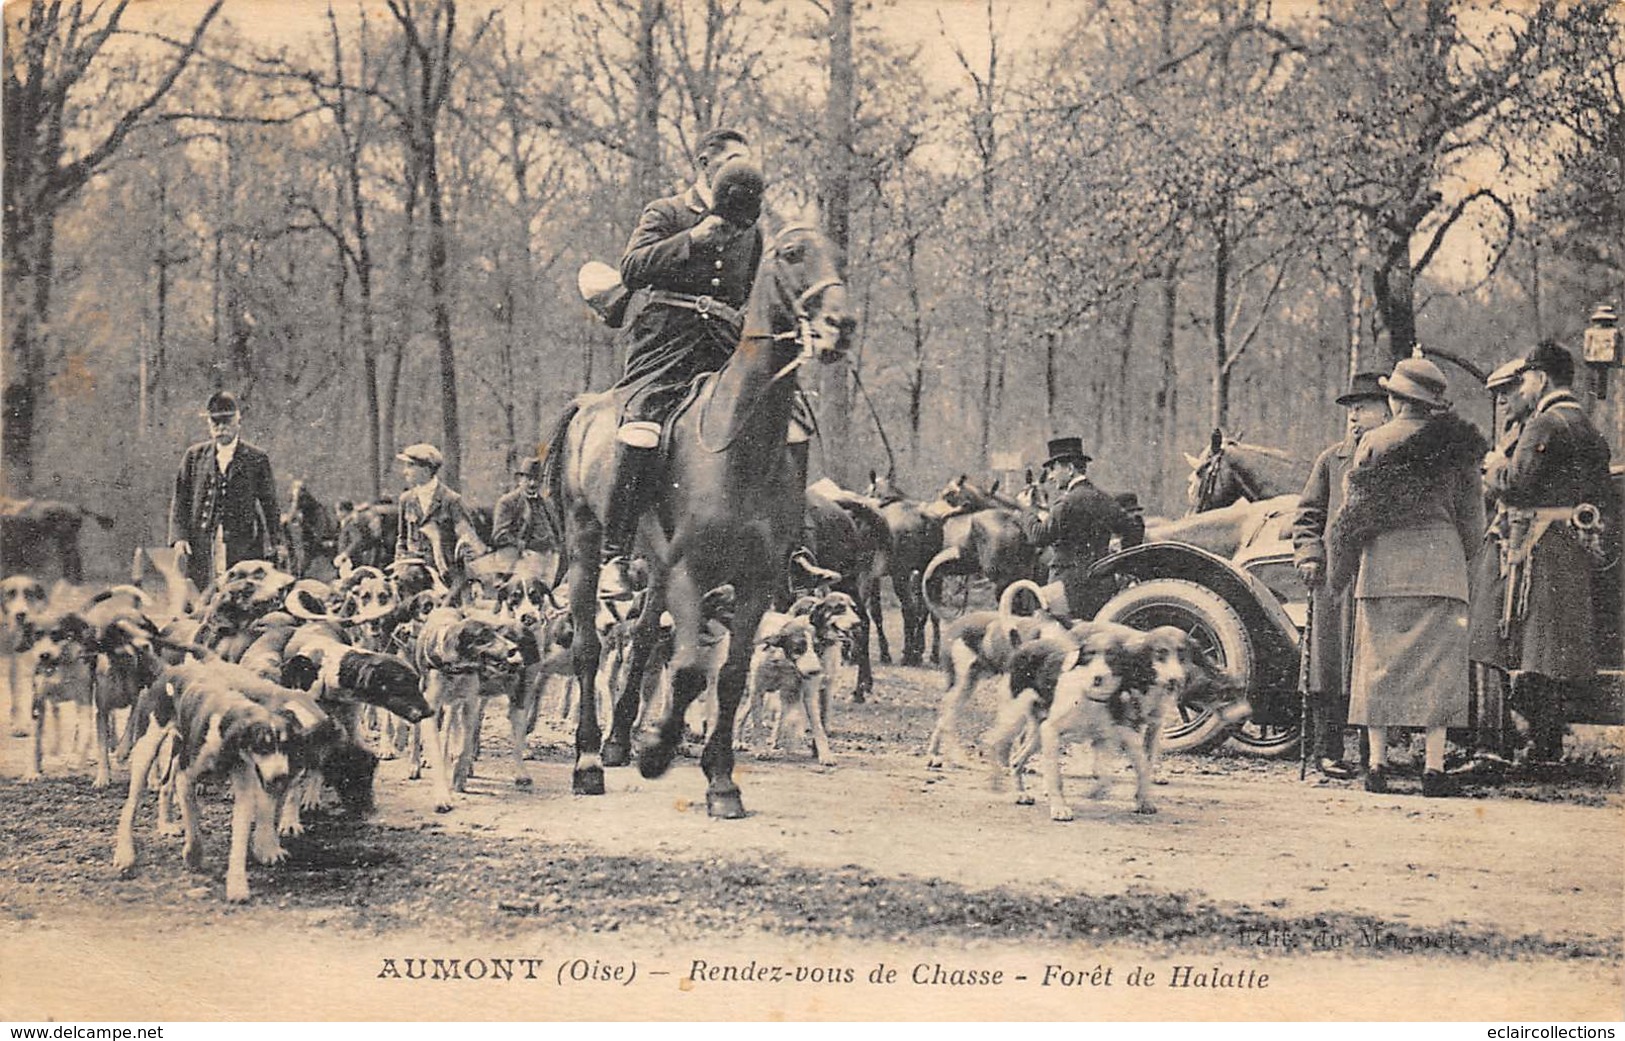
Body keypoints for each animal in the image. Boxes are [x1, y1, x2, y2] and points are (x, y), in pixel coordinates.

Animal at [542, 220, 851, 818]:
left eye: (840, 256)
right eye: (791, 252)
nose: (840, 326)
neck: (740, 447)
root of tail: (589, 406)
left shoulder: (756, 582)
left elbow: (728, 678)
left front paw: (722, 780)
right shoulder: (691, 570)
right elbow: (686, 671)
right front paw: (658, 750)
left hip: (656, 568)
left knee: (642, 639)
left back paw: (616, 743)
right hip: (589, 543)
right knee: (591, 648)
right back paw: (589, 761)